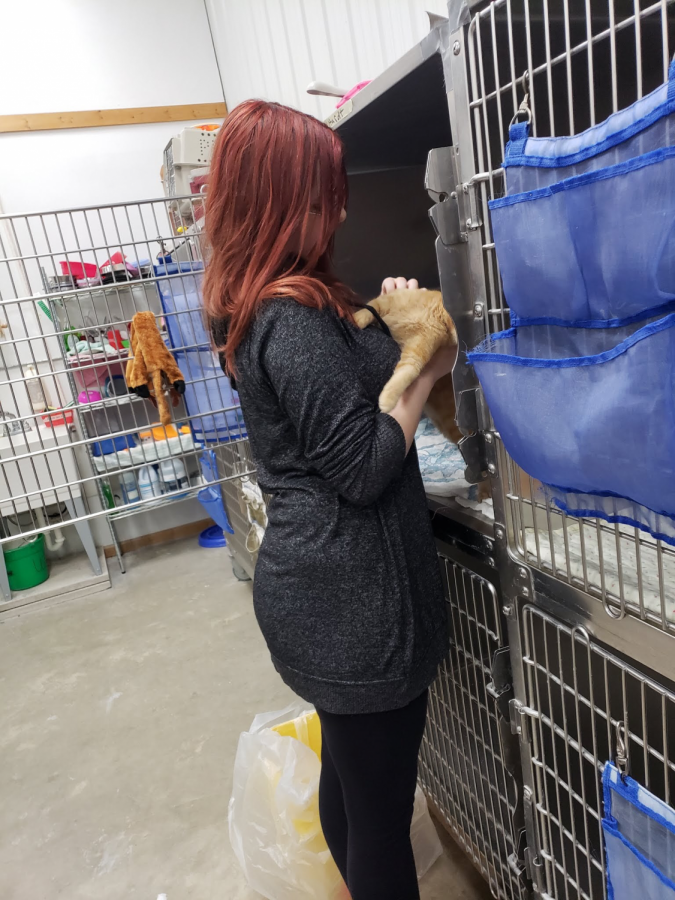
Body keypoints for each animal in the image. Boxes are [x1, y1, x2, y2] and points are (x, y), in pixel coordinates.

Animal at [354, 288, 464, 442]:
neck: (433, 312)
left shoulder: (419, 347)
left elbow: (408, 371)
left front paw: (387, 400)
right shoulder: (386, 300)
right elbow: (369, 309)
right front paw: (355, 320)